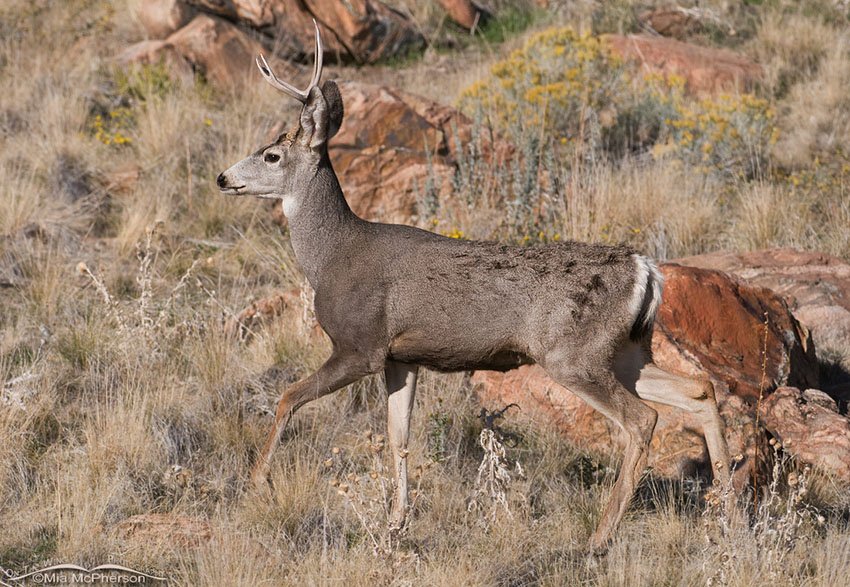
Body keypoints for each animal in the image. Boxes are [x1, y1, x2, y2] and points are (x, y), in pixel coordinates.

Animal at [216, 22, 731, 554]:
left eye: (271, 154)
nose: (222, 177)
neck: (332, 256)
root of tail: (646, 269)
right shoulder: (401, 358)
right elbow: (399, 437)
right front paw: (396, 524)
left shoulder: (361, 345)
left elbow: (287, 397)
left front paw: (258, 482)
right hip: (625, 351)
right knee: (698, 388)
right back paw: (729, 514)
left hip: (573, 353)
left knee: (642, 420)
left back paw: (600, 537)